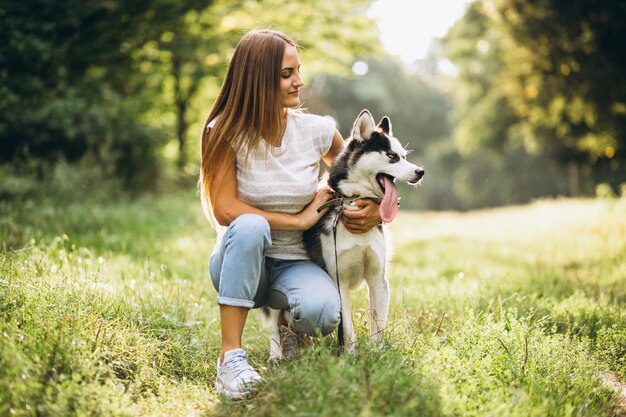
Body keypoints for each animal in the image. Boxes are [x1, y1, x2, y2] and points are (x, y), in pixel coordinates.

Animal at [266, 109, 422, 356]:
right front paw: (350, 355)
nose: (420, 171)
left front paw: (377, 354)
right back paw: (276, 354)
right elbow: (347, 328)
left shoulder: (377, 278)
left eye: (404, 156)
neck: (352, 202)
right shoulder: (338, 280)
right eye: (392, 156)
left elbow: (378, 325)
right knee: (274, 321)